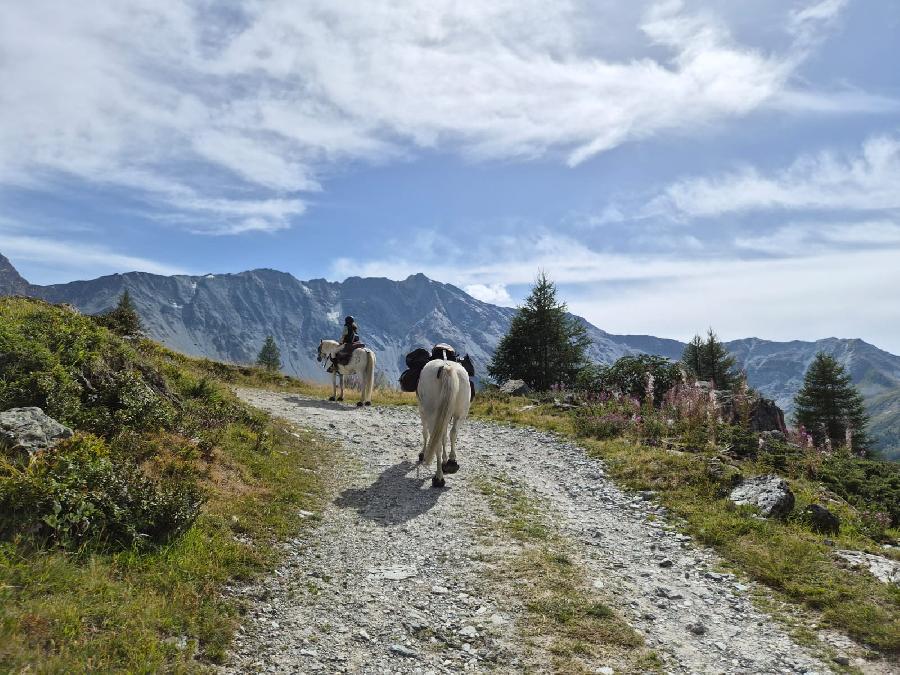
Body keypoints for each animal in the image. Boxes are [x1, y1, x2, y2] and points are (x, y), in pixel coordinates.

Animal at [416, 358, 471, 487]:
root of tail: (447, 367)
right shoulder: (445, 416)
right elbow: (444, 437)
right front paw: (445, 460)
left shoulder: (422, 412)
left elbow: (425, 433)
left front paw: (423, 453)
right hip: (460, 414)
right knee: (453, 432)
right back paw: (452, 461)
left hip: (431, 415)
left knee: (435, 440)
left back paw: (438, 478)